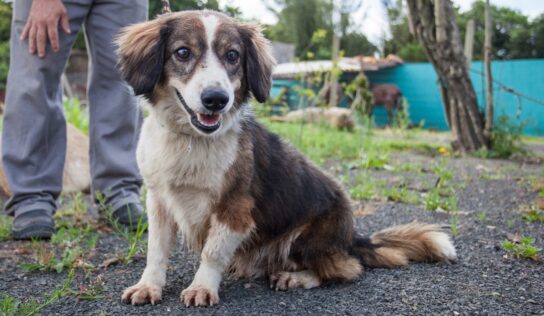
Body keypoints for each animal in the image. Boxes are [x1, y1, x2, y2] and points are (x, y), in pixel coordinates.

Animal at [117, 11, 456, 308]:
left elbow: (212, 253)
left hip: (307, 238)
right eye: (183, 52)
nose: (216, 99)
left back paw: (296, 278)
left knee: (345, 270)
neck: (191, 140)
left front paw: (202, 287)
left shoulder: (235, 211)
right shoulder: (159, 202)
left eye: (232, 56)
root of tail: (352, 238)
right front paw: (148, 286)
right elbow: (156, 251)